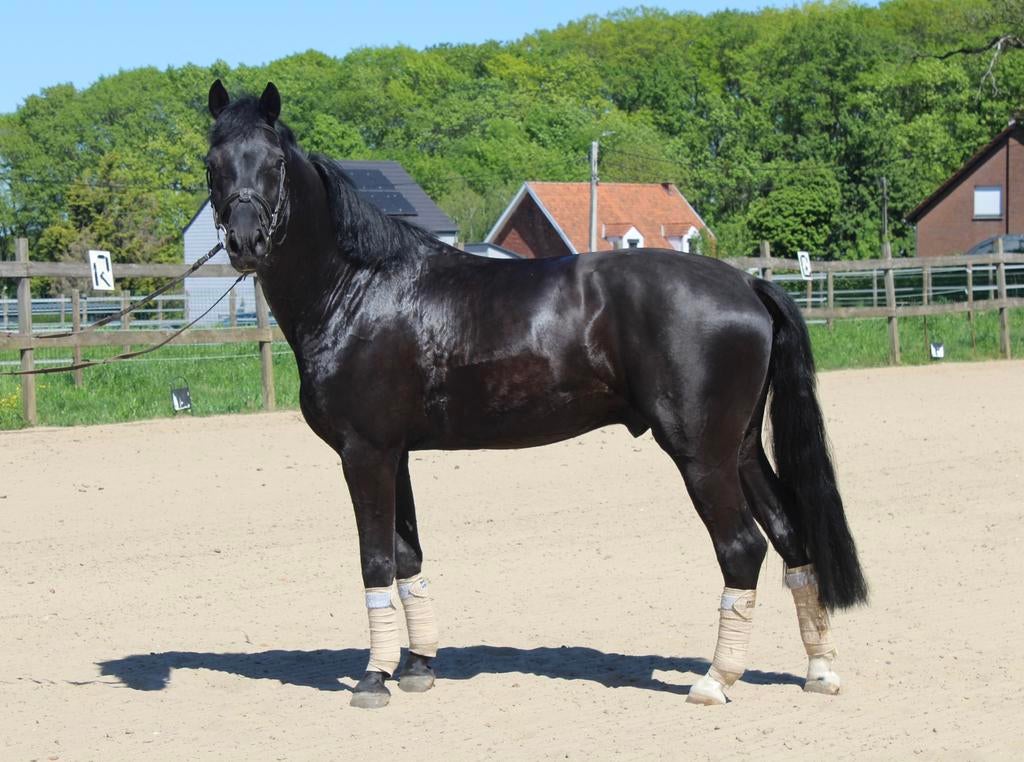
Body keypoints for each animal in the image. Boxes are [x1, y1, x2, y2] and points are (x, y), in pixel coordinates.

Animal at [204, 80, 867, 709]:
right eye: (214, 160)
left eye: (274, 162)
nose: (245, 241)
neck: (360, 288)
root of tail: (748, 285)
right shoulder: (397, 455)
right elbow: (408, 556)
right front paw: (417, 668)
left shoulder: (364, 453)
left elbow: (375, 559)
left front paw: (374, 678)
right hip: (741, 449)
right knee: (790, 535)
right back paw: (820, 670)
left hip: (701, 454)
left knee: (742, 548)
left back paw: (714, 679)